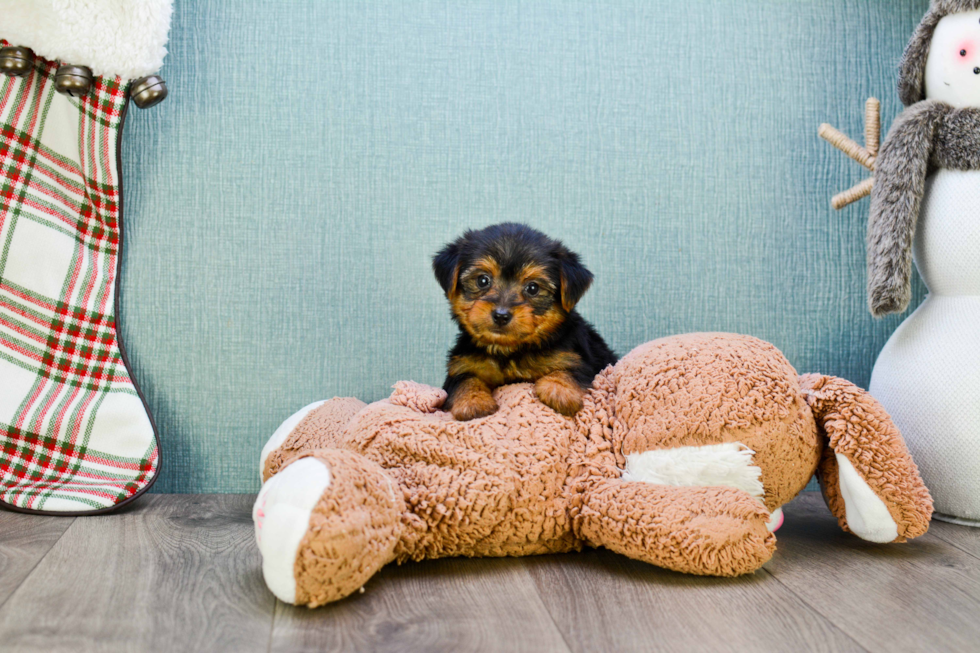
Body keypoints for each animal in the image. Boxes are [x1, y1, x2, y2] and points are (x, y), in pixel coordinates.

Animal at [432, 222, 616, 420]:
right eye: (482, 280)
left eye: (533, 288)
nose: (501, 315)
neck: (509, 350)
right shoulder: (461, 365)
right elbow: (465, 379)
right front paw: (473, 401)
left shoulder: (580, 359)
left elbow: (570, 370)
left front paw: (559, 390)